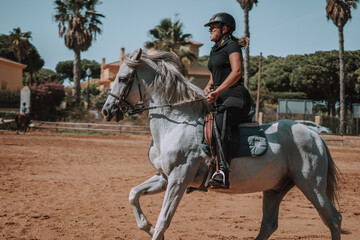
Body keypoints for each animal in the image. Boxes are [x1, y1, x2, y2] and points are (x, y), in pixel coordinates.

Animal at [102, 49, 344, 240]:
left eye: (123, 79)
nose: (106, 111)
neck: (175, 123)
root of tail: (314, 135)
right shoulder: (164, 177)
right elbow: (133, 195)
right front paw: (149, 228)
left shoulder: (179, 179)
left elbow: (163, 220)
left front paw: (156, 230)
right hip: (275, 189)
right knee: (268, 225)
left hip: (312, 186)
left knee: (333, 219)